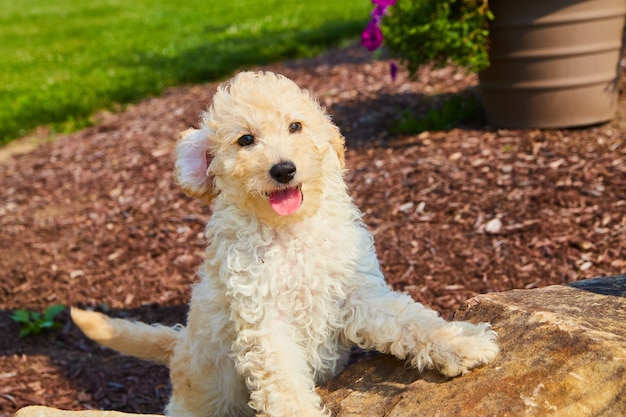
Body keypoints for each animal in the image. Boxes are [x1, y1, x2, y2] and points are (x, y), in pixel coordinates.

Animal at [18, 71, 498, 416]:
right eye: (246, 139)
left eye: (296, 126)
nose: (283, 169)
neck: (289, 233)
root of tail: (177, 345)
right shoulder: (263, 319)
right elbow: (283, 384)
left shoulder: (355, 292)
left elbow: (410, 319)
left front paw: (463, 342)